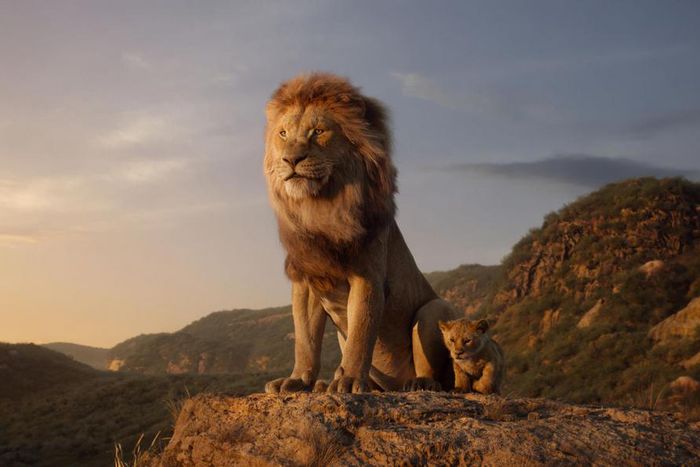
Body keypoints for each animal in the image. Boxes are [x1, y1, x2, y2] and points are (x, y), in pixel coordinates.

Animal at [263, 73, 459, 394]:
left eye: (318, 131)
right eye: (283, 134)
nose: (290, 160)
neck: (320, 207)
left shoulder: (367, 276)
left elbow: (361, 333)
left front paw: (350, 380)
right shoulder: (307, 280)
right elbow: (305, 339)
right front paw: (298, 380)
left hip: (434, 309)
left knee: (437, 374)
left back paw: (418, 384)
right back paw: (326, 384)